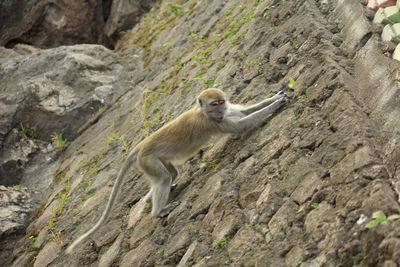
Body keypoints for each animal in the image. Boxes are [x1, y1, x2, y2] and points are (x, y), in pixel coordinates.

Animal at [67, 88, 290, 255]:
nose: (220, 110)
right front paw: (275, 105)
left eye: (221, 102)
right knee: (164, 178)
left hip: (156, 160)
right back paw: (158, 211)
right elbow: (241, 124)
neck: (202, 112)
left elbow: (242, 112)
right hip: (148, 161)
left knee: (169, 175)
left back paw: (150, 198)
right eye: (214, 104)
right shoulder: (211, 123)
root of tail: (140, 146)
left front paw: (274, 97)